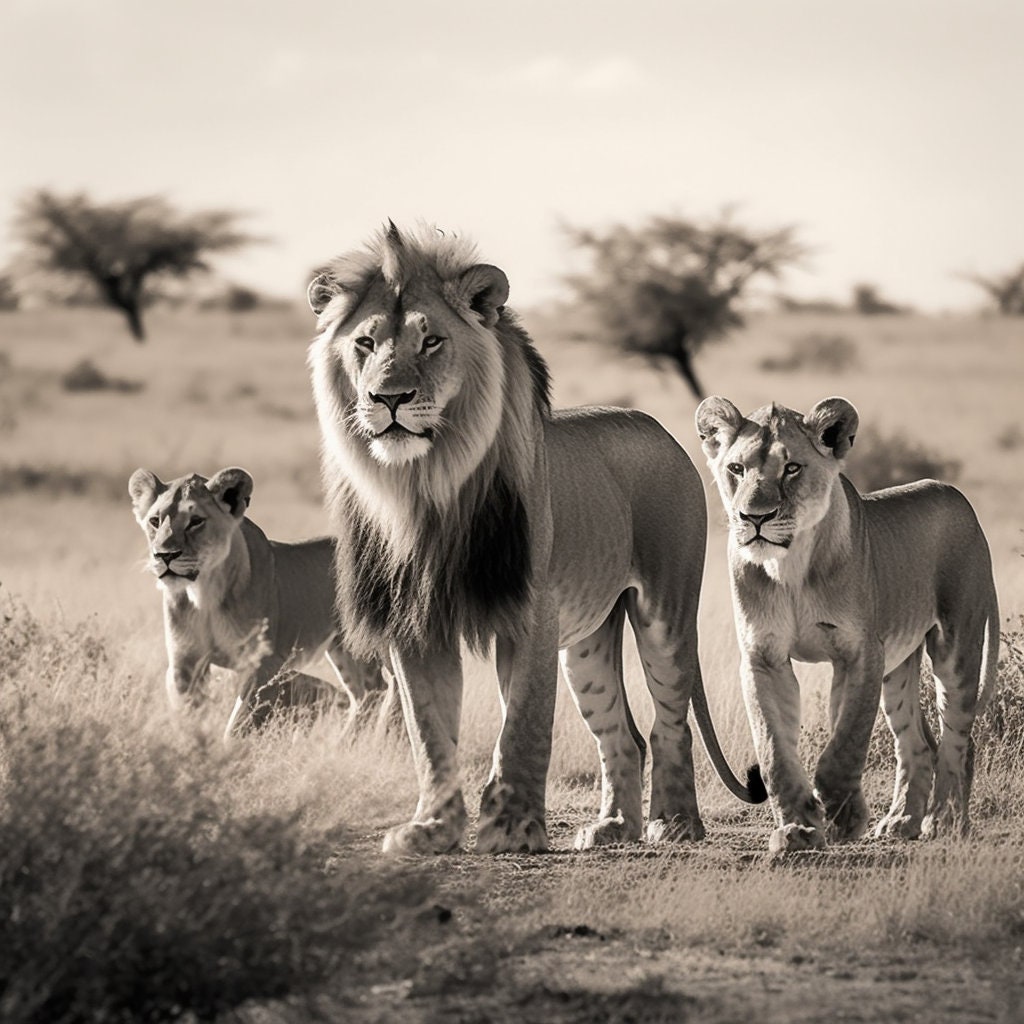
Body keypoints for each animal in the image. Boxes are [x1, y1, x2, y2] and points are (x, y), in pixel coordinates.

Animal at [129, 466, 390, 737]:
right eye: (155, 521)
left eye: (196, 521)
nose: (164, 555)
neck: (204, 593)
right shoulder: (185, 665)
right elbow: (189, 719)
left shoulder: (263, 665)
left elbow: (238, 726)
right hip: (345, 649)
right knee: (365, 695)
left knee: (384, 688)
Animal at [306, 223, 765, 855]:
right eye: (366, 343)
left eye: (432, 342)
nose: (388, 399)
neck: (424, 488)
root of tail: (658, 428)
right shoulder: (415, 623)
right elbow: (428, 733)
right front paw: (432, 828)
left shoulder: (529, 614)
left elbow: (521, 724)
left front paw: (512, 827)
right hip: (587, 644)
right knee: (621, 733)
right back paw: (613, 828)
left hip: (665, 613)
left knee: (669, 722)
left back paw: (673, 823)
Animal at [695, 395, 999, 853]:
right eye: (736, 468)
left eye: (792, 468)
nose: (755, 517)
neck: (790, 567)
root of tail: (957, 497)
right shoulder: (763, 657)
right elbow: (774, 751)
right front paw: (798, 829)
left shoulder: (859, 654)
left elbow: (845, 744)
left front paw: (844, 819)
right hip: (898, 668)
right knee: (918, 745)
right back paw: (902, 821)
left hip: (955, 648)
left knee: (957, 737)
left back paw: (944, 821)